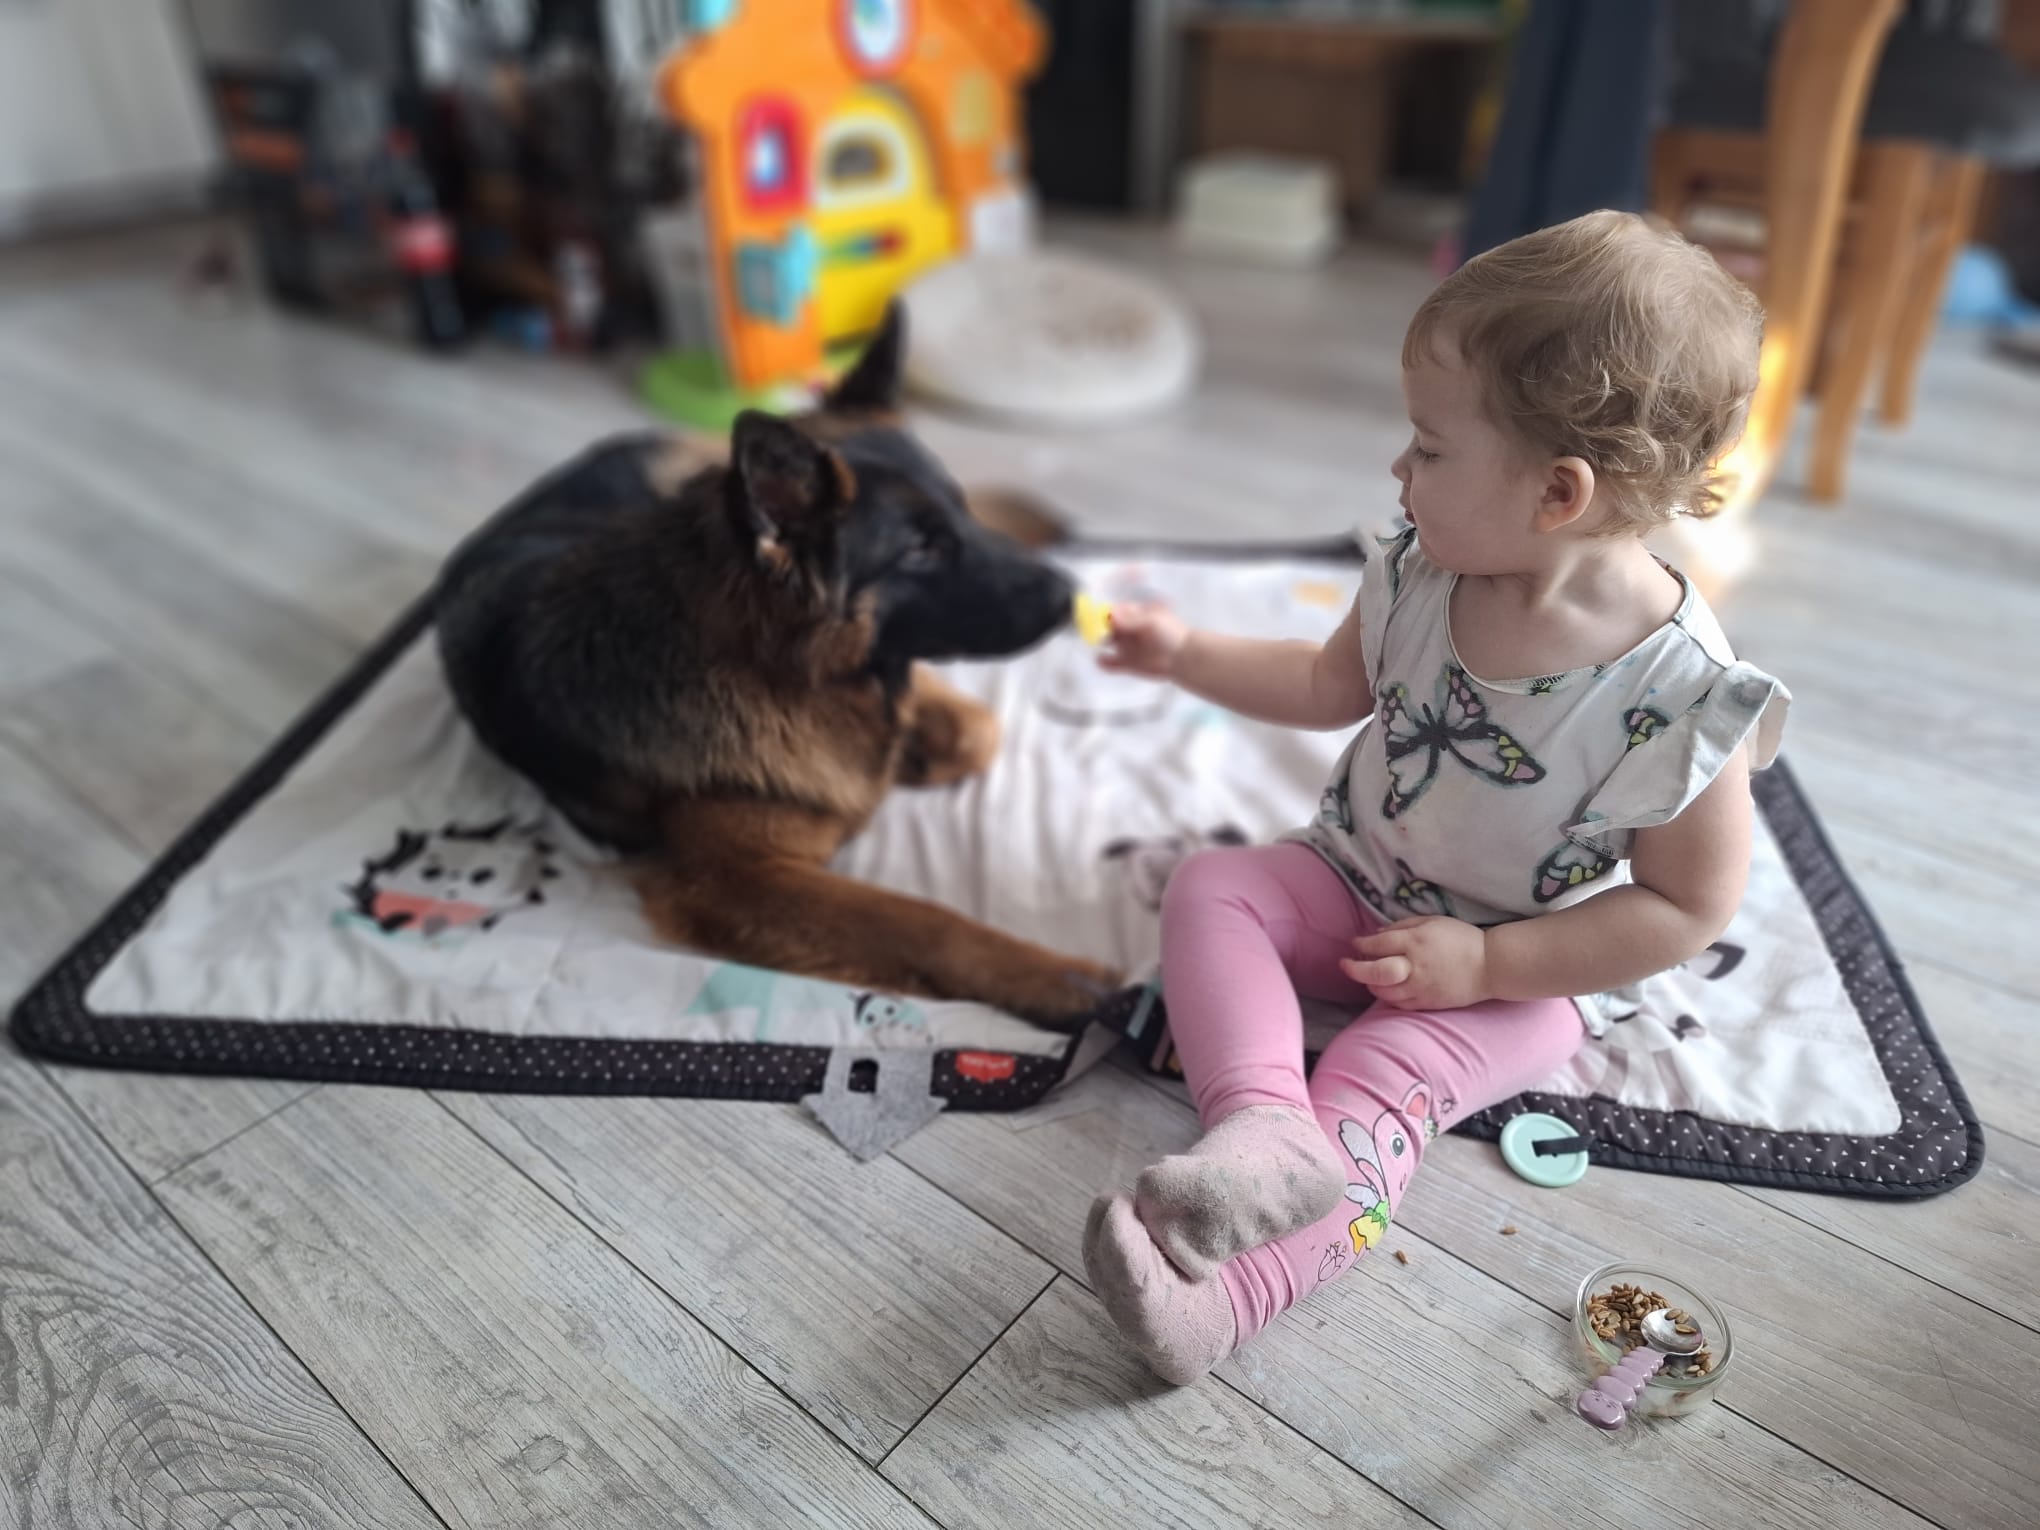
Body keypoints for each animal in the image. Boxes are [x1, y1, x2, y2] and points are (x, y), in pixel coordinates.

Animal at [435, 308, 1117, 1026]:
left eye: (958, 515)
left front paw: (909, 750)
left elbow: (973, 727)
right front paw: (1058, 978)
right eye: (921, 551)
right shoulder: (738, 878)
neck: (770, 676)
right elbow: (925, 921)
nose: (1071, 596)